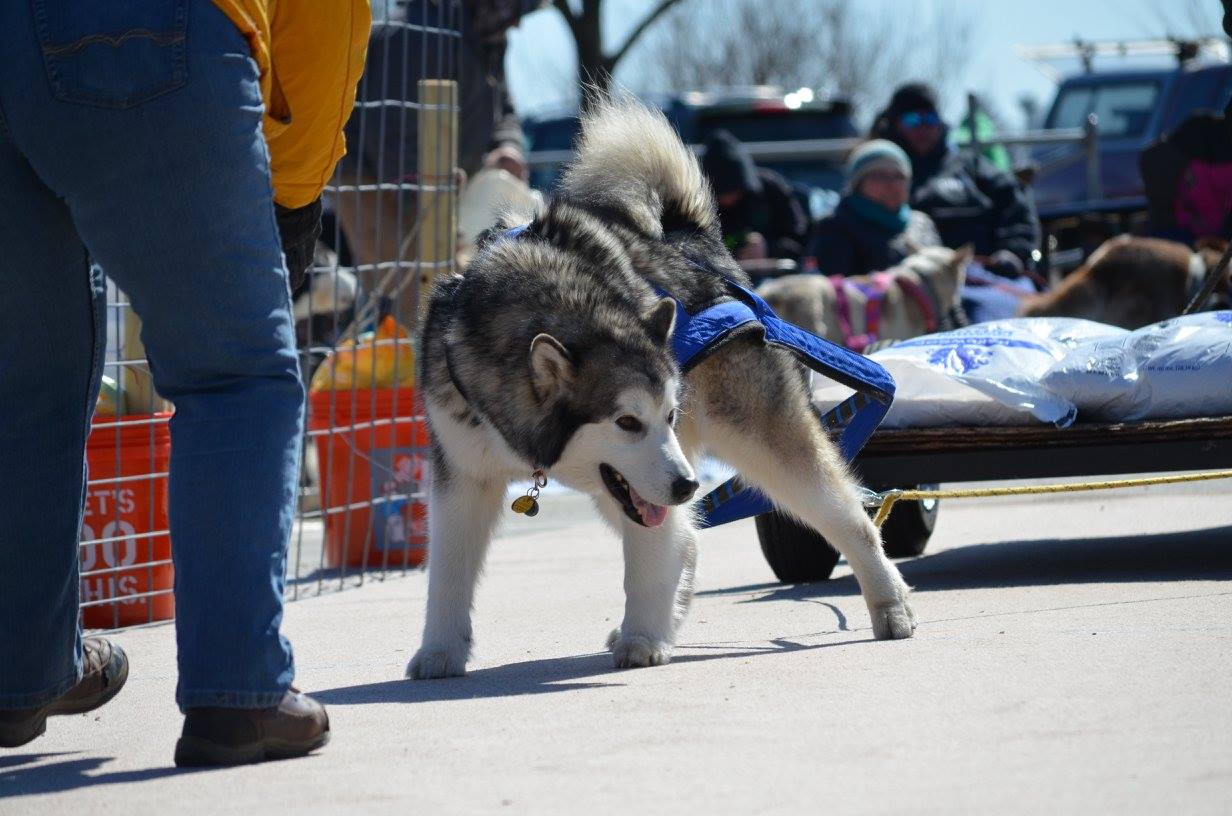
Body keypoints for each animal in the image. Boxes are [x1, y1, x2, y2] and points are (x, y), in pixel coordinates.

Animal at [409, 97, 911, 685]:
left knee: (849, 518)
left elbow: (649, 561)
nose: (689, 486)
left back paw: (890, 604)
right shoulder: (462, 473)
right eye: (627, 422)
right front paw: (440, 650)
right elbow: (448, 572)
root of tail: (691, 239)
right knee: (687, 536)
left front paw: (644, 638)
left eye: (668, 415)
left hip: (759, 445)